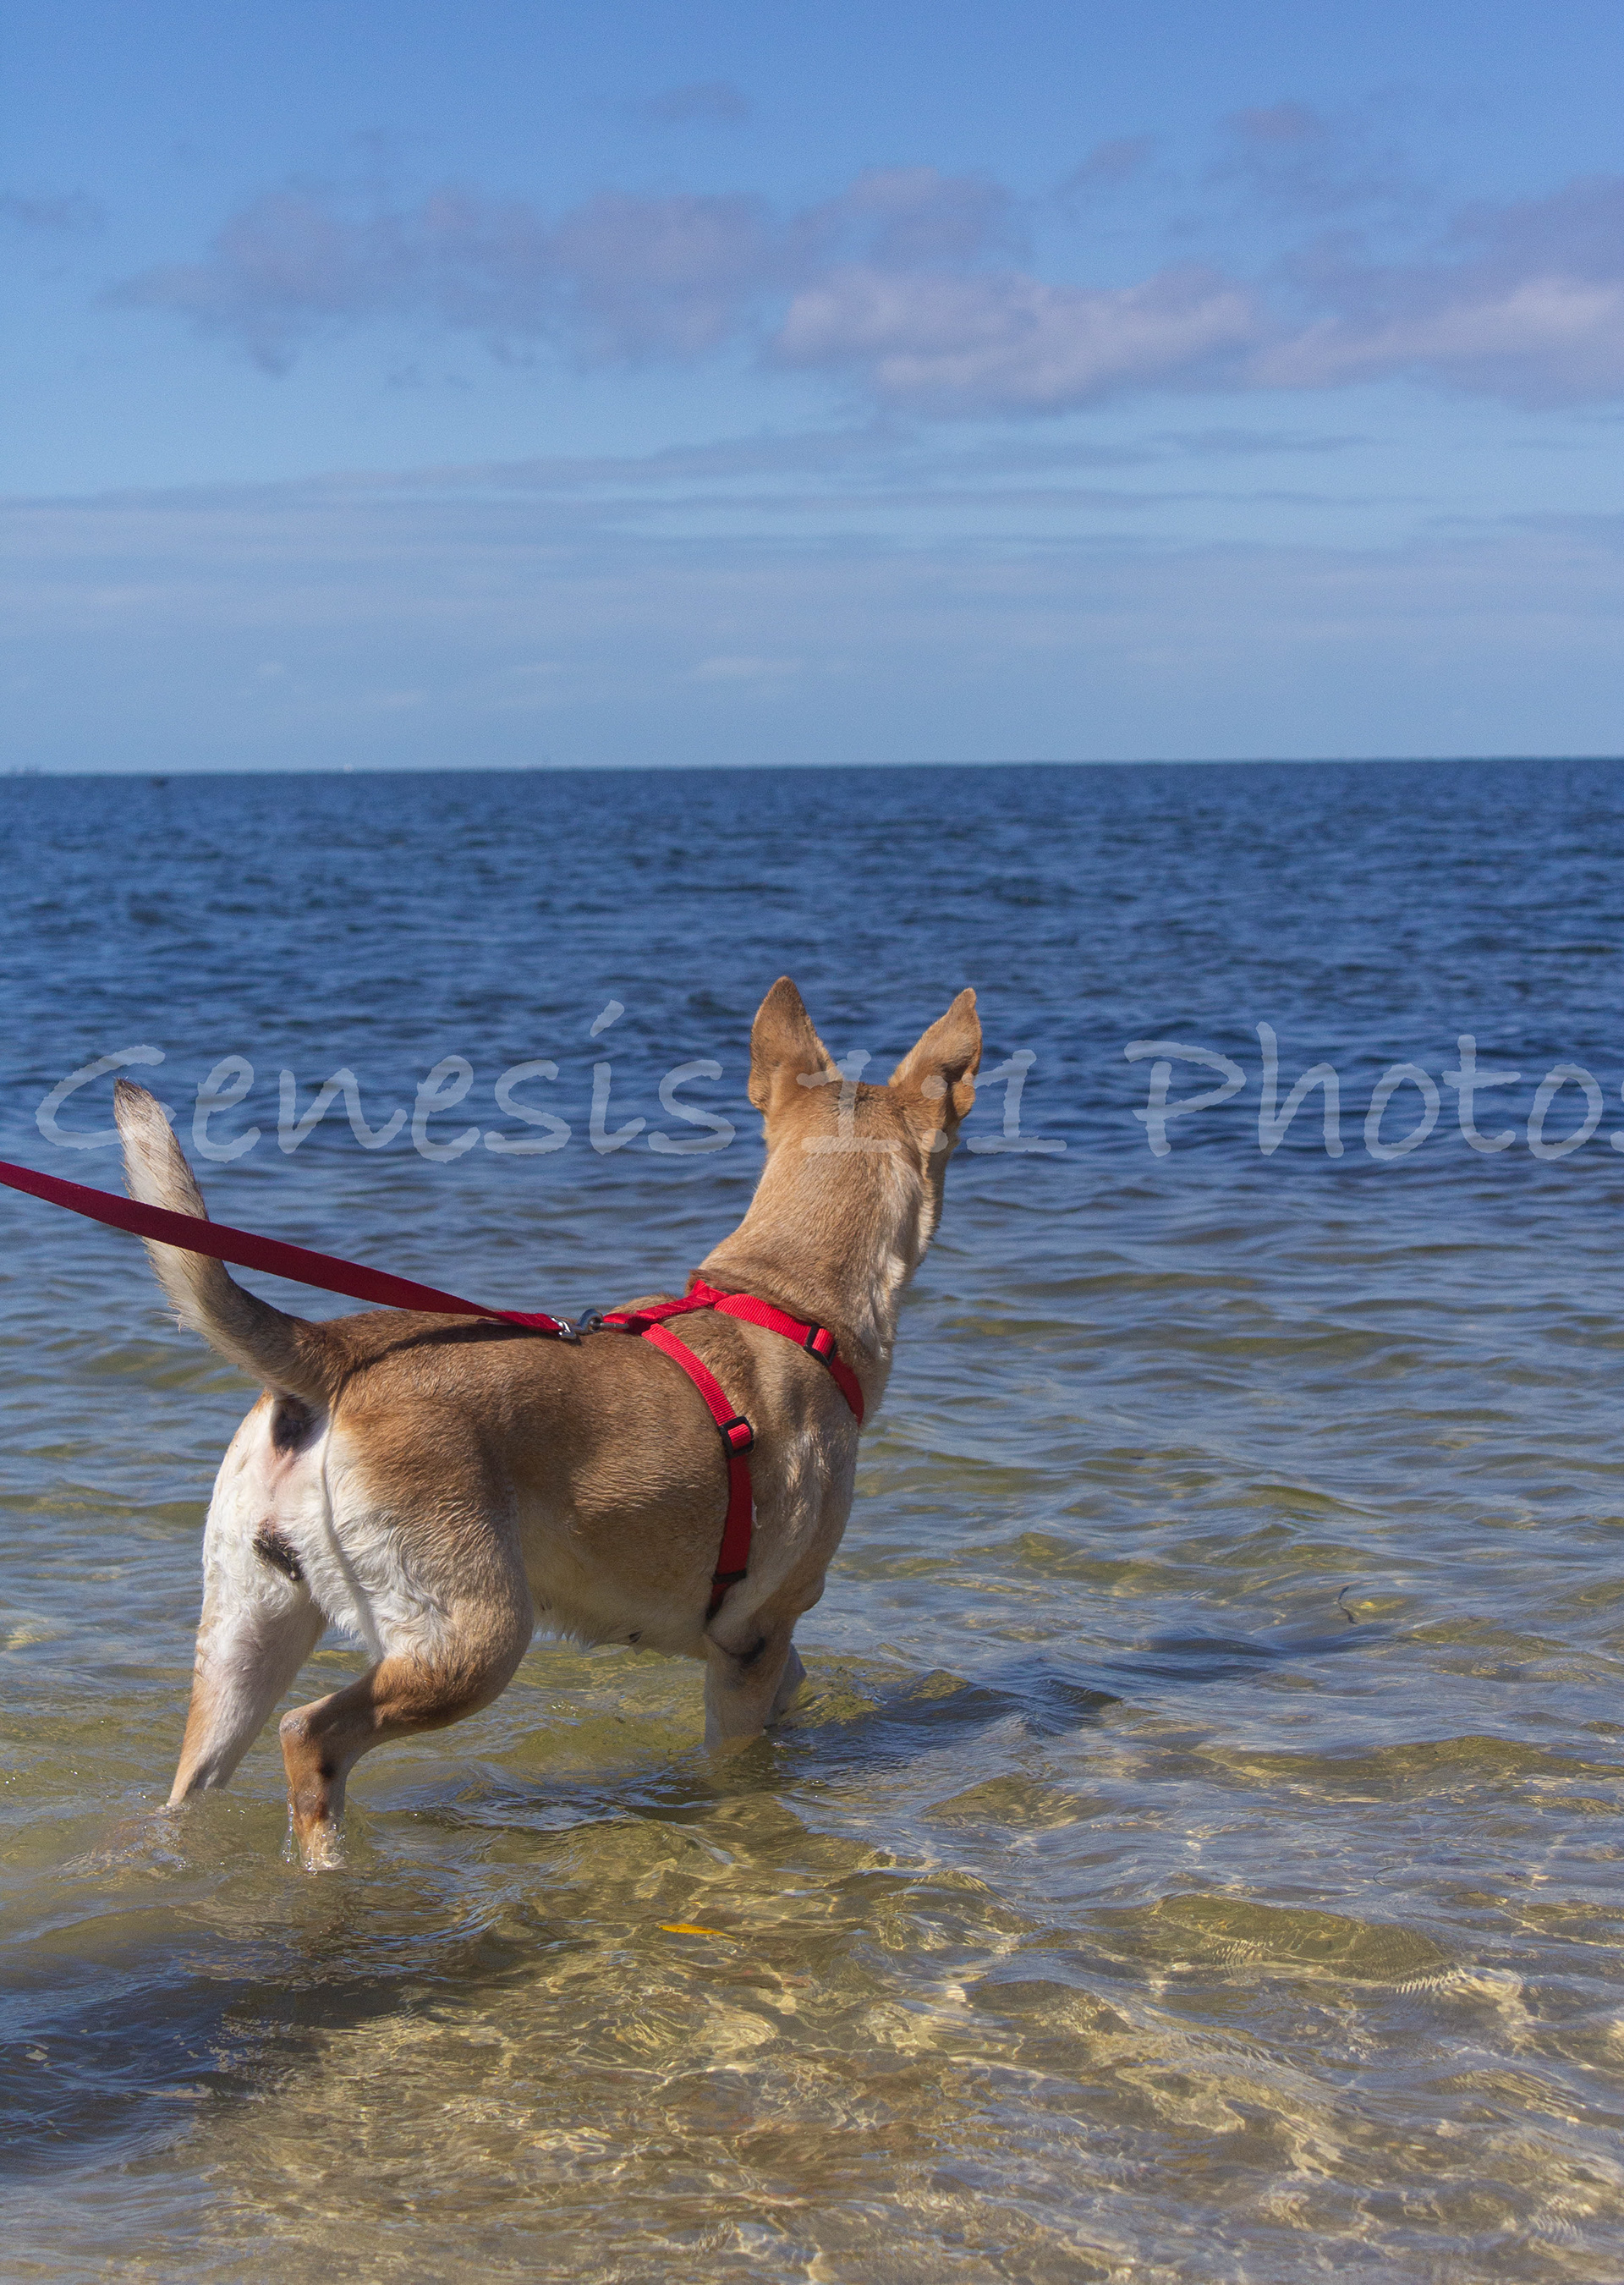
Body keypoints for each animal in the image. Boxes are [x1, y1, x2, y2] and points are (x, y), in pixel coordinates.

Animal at [114, 977, 980, 1865]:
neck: (787, 1298)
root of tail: (334, 1357)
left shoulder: (759, 1646)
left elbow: (795, 1695)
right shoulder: (755, 1639)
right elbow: (737, 1759)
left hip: (244, 1642)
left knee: (192, 1784)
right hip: (475, 1641)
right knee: (309, 1737)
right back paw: (331, 1866)